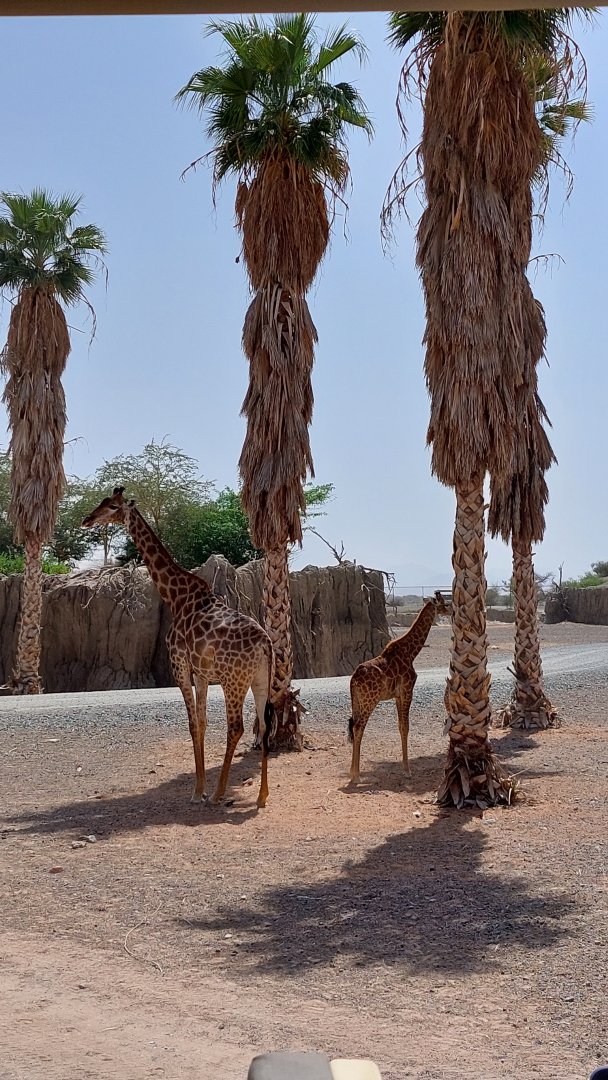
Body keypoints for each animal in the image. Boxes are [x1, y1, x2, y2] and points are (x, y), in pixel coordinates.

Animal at [82, 487, 275, 809]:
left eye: (112, 507)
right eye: (102, 502)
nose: (86, 519)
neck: (175, 596)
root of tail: (265, 644)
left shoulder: (180, 666)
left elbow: (192, 723)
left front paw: (199, 791)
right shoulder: (202, 674)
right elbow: (203, 722)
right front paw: (201, 787)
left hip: (234, 681)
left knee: (236, 726)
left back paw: (220, 794)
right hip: (259, 680)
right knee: (263, 724)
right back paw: (261, 796)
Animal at [347, 591, 451, 784]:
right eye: (445, 604)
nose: (452, 611)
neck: (411, 653)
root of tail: (353, 680)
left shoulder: (396, 695)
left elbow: (399, 726)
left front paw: (405, 768)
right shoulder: (407, 690)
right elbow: (406, 727)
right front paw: (407, 770)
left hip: (356, 701)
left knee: (354, 727)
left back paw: (352, 772)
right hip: (369, 701)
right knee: (358, 728)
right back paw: (356, 775)